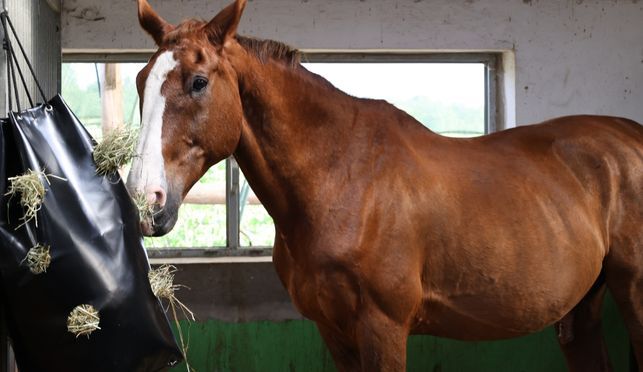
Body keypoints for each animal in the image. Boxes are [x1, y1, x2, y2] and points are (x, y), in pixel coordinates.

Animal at [127, 1, 643, 370]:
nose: (146, 200)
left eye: (198, 82)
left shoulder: (384, 328)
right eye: (140, 80)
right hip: (581, 310)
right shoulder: (334, 332)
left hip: (632, 290)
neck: (342, 180)